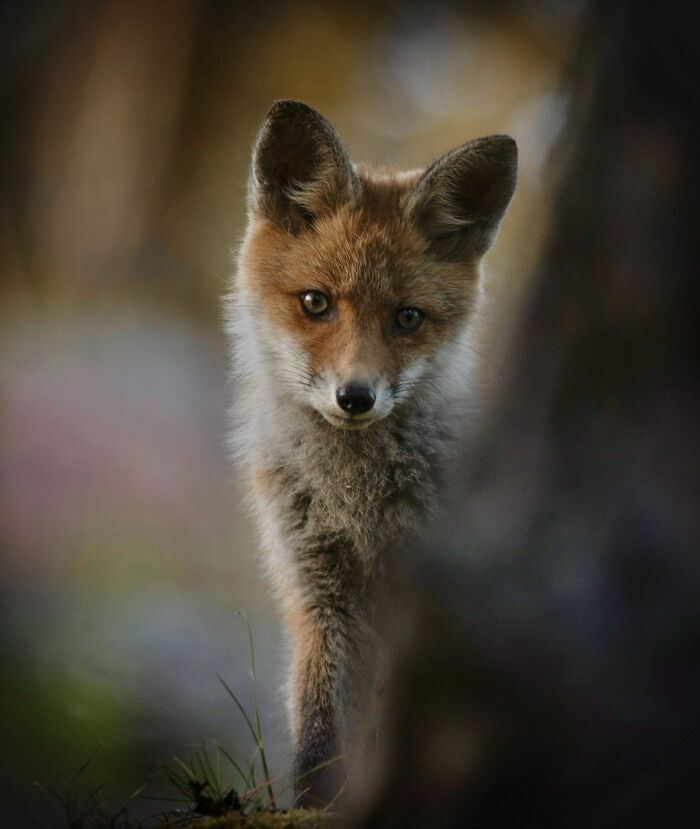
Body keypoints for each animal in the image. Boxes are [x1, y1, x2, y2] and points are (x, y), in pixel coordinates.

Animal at [225, 99, 517, 807]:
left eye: (407, 318)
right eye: (315, 303)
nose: (355, 397)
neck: (355, 498)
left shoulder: (424, 597)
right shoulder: (317, 589)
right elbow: (320, 728)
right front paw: (317, 805)